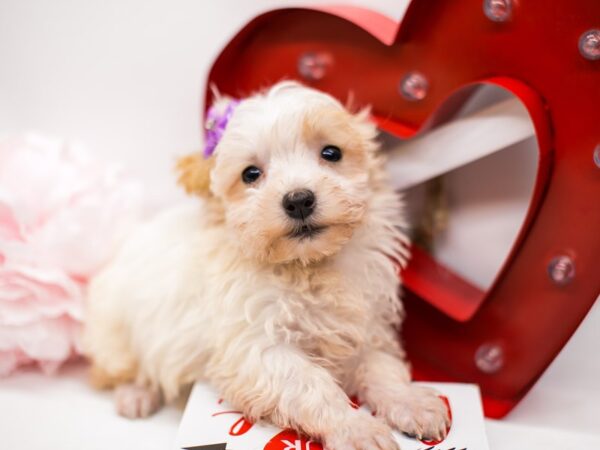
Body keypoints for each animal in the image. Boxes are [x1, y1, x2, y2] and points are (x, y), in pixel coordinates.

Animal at [84, 82, 450, 448]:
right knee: (115, 369)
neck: (308, 266)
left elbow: (381, 366)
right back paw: (136, 394)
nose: (299, 200)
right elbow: (312, 385)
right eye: (251, 174)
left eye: (331, 153)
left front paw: (411, 402)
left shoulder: (365, 325)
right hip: (118, 330)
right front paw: (355, 427)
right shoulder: (258, 347)